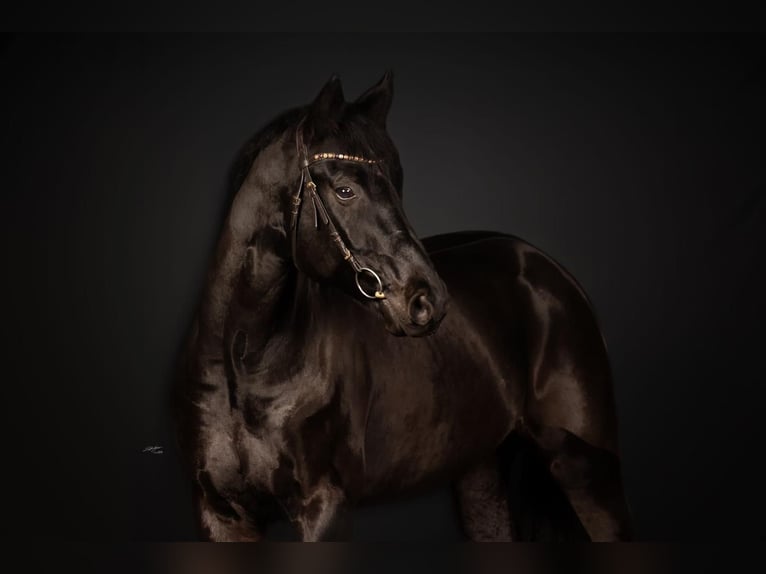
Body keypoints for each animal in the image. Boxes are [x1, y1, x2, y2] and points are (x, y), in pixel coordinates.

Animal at [173, 72, 633, 541]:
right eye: (345, 190)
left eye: (397, 182)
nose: (427, 301)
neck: (246, 360)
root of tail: (548, 269)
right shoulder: (220, 512)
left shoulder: (324, 509)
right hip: (482, 473)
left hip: (588, 470)